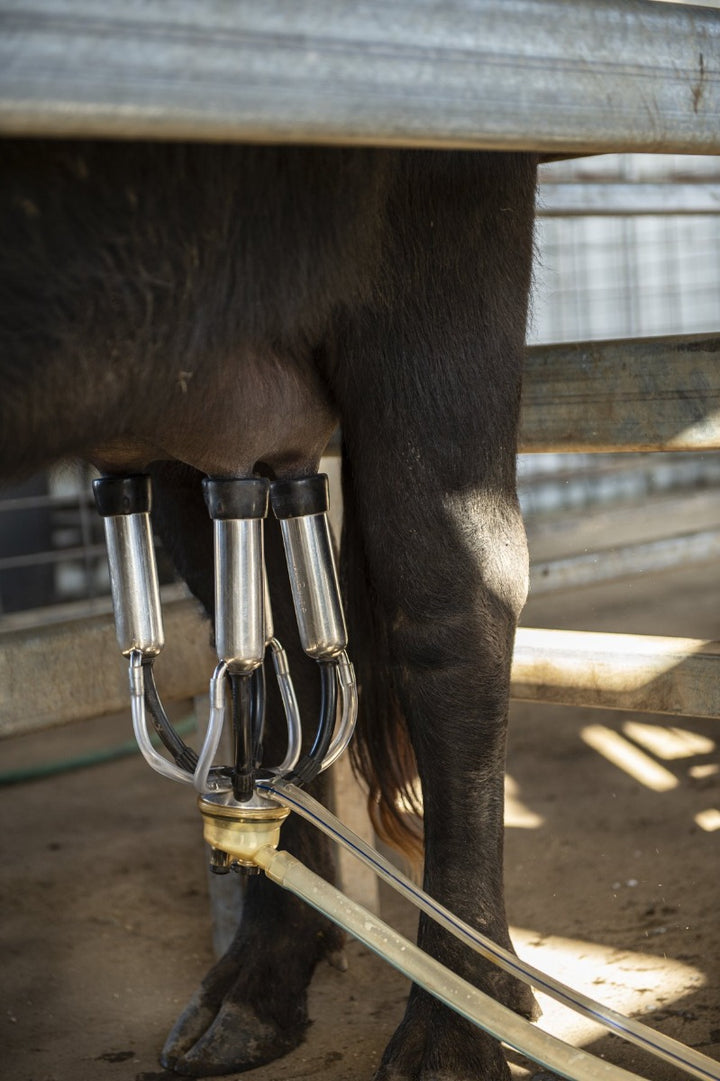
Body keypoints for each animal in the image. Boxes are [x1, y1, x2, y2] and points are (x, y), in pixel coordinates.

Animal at [0, 143, 536, 1081]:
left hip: (437, 229)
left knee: (454, 600)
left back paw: (458, 1019)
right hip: (187, 386)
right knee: (273, 639)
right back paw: (255, 982)